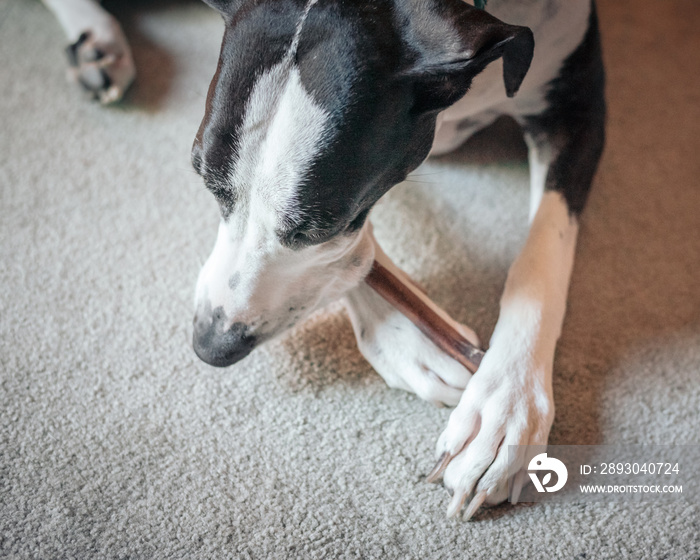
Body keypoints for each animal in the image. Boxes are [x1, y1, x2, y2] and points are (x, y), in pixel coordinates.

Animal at [45, 0, 600, 520]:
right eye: (209, 184)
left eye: (317, 225)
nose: (210, 346)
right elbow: (356, 256)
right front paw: (407, 336)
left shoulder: (577, 99)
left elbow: (544, 251)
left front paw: (507, 404)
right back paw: (96, 42)